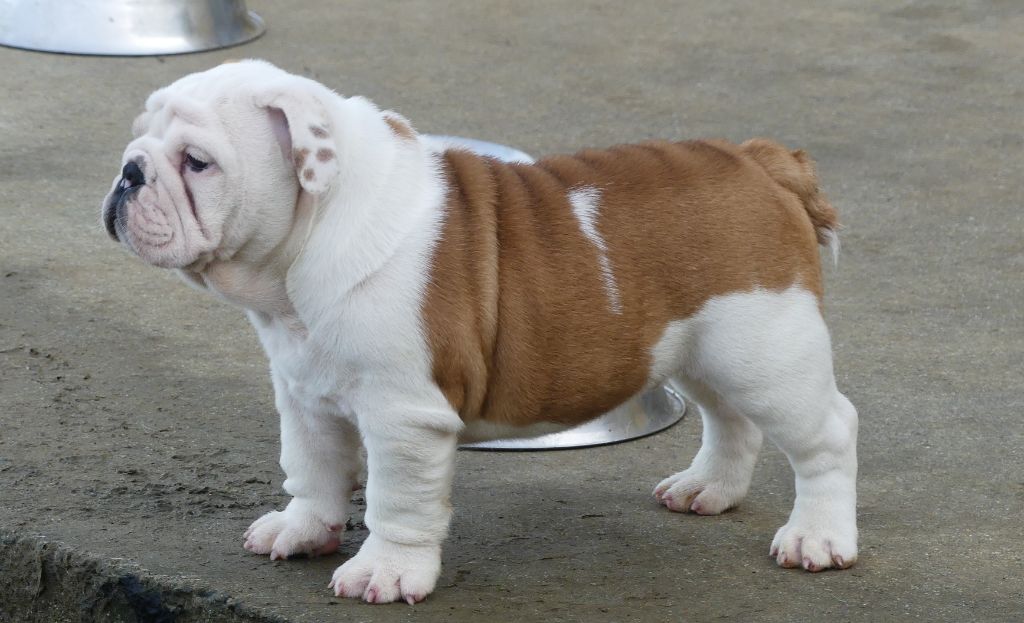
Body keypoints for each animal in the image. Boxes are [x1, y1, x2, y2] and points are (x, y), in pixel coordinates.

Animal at [101, 60, 858, 605]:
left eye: (197, 162)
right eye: (138, 136)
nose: (129, 171)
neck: (302, 253)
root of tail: (758, 162)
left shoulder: (404, 415)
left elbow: (396, 499)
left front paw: (384, 572)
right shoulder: (304, 393)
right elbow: (312, 468)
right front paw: (302, 528)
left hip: (768, 352)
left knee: (827, 434)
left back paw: (817, 538)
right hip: (706, 349)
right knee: (732, 421)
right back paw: (708, 489)